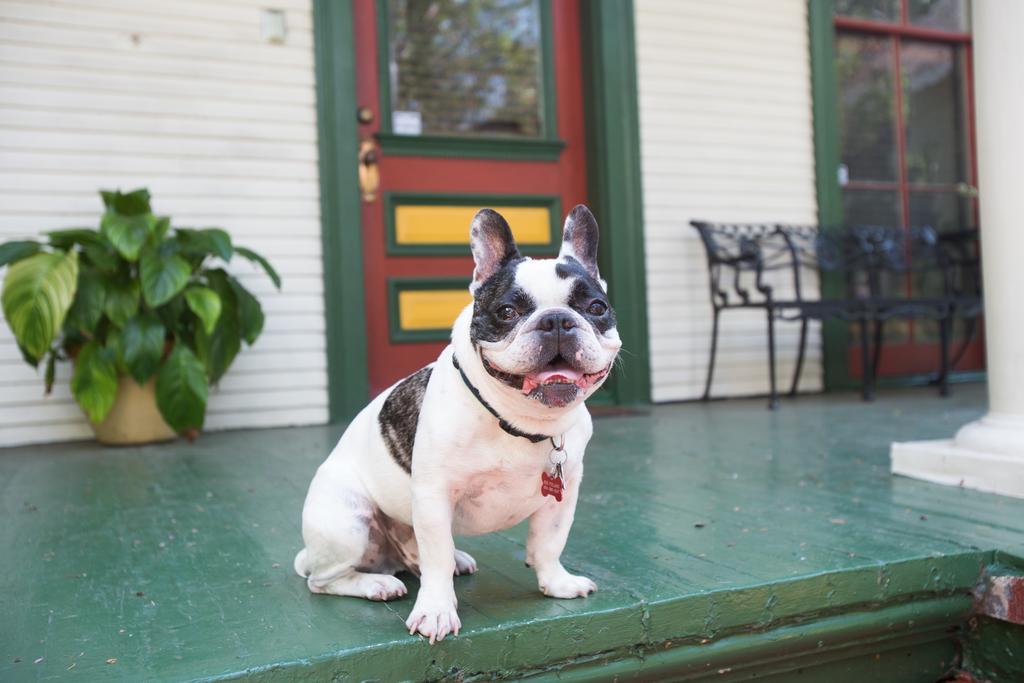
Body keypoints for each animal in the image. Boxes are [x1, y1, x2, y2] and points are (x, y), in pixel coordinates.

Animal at [292, 205, 618, 643]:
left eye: (596, 308)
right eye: (507, 312)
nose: (556, 320)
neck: (519, 421)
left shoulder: (562, 495)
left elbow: (549, 542)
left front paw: (557, 582)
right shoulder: (434, 495)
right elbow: (436, 560)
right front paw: (435, 610)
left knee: (414, 555)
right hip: (348, 522)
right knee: (325, 580)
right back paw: (375, 584)